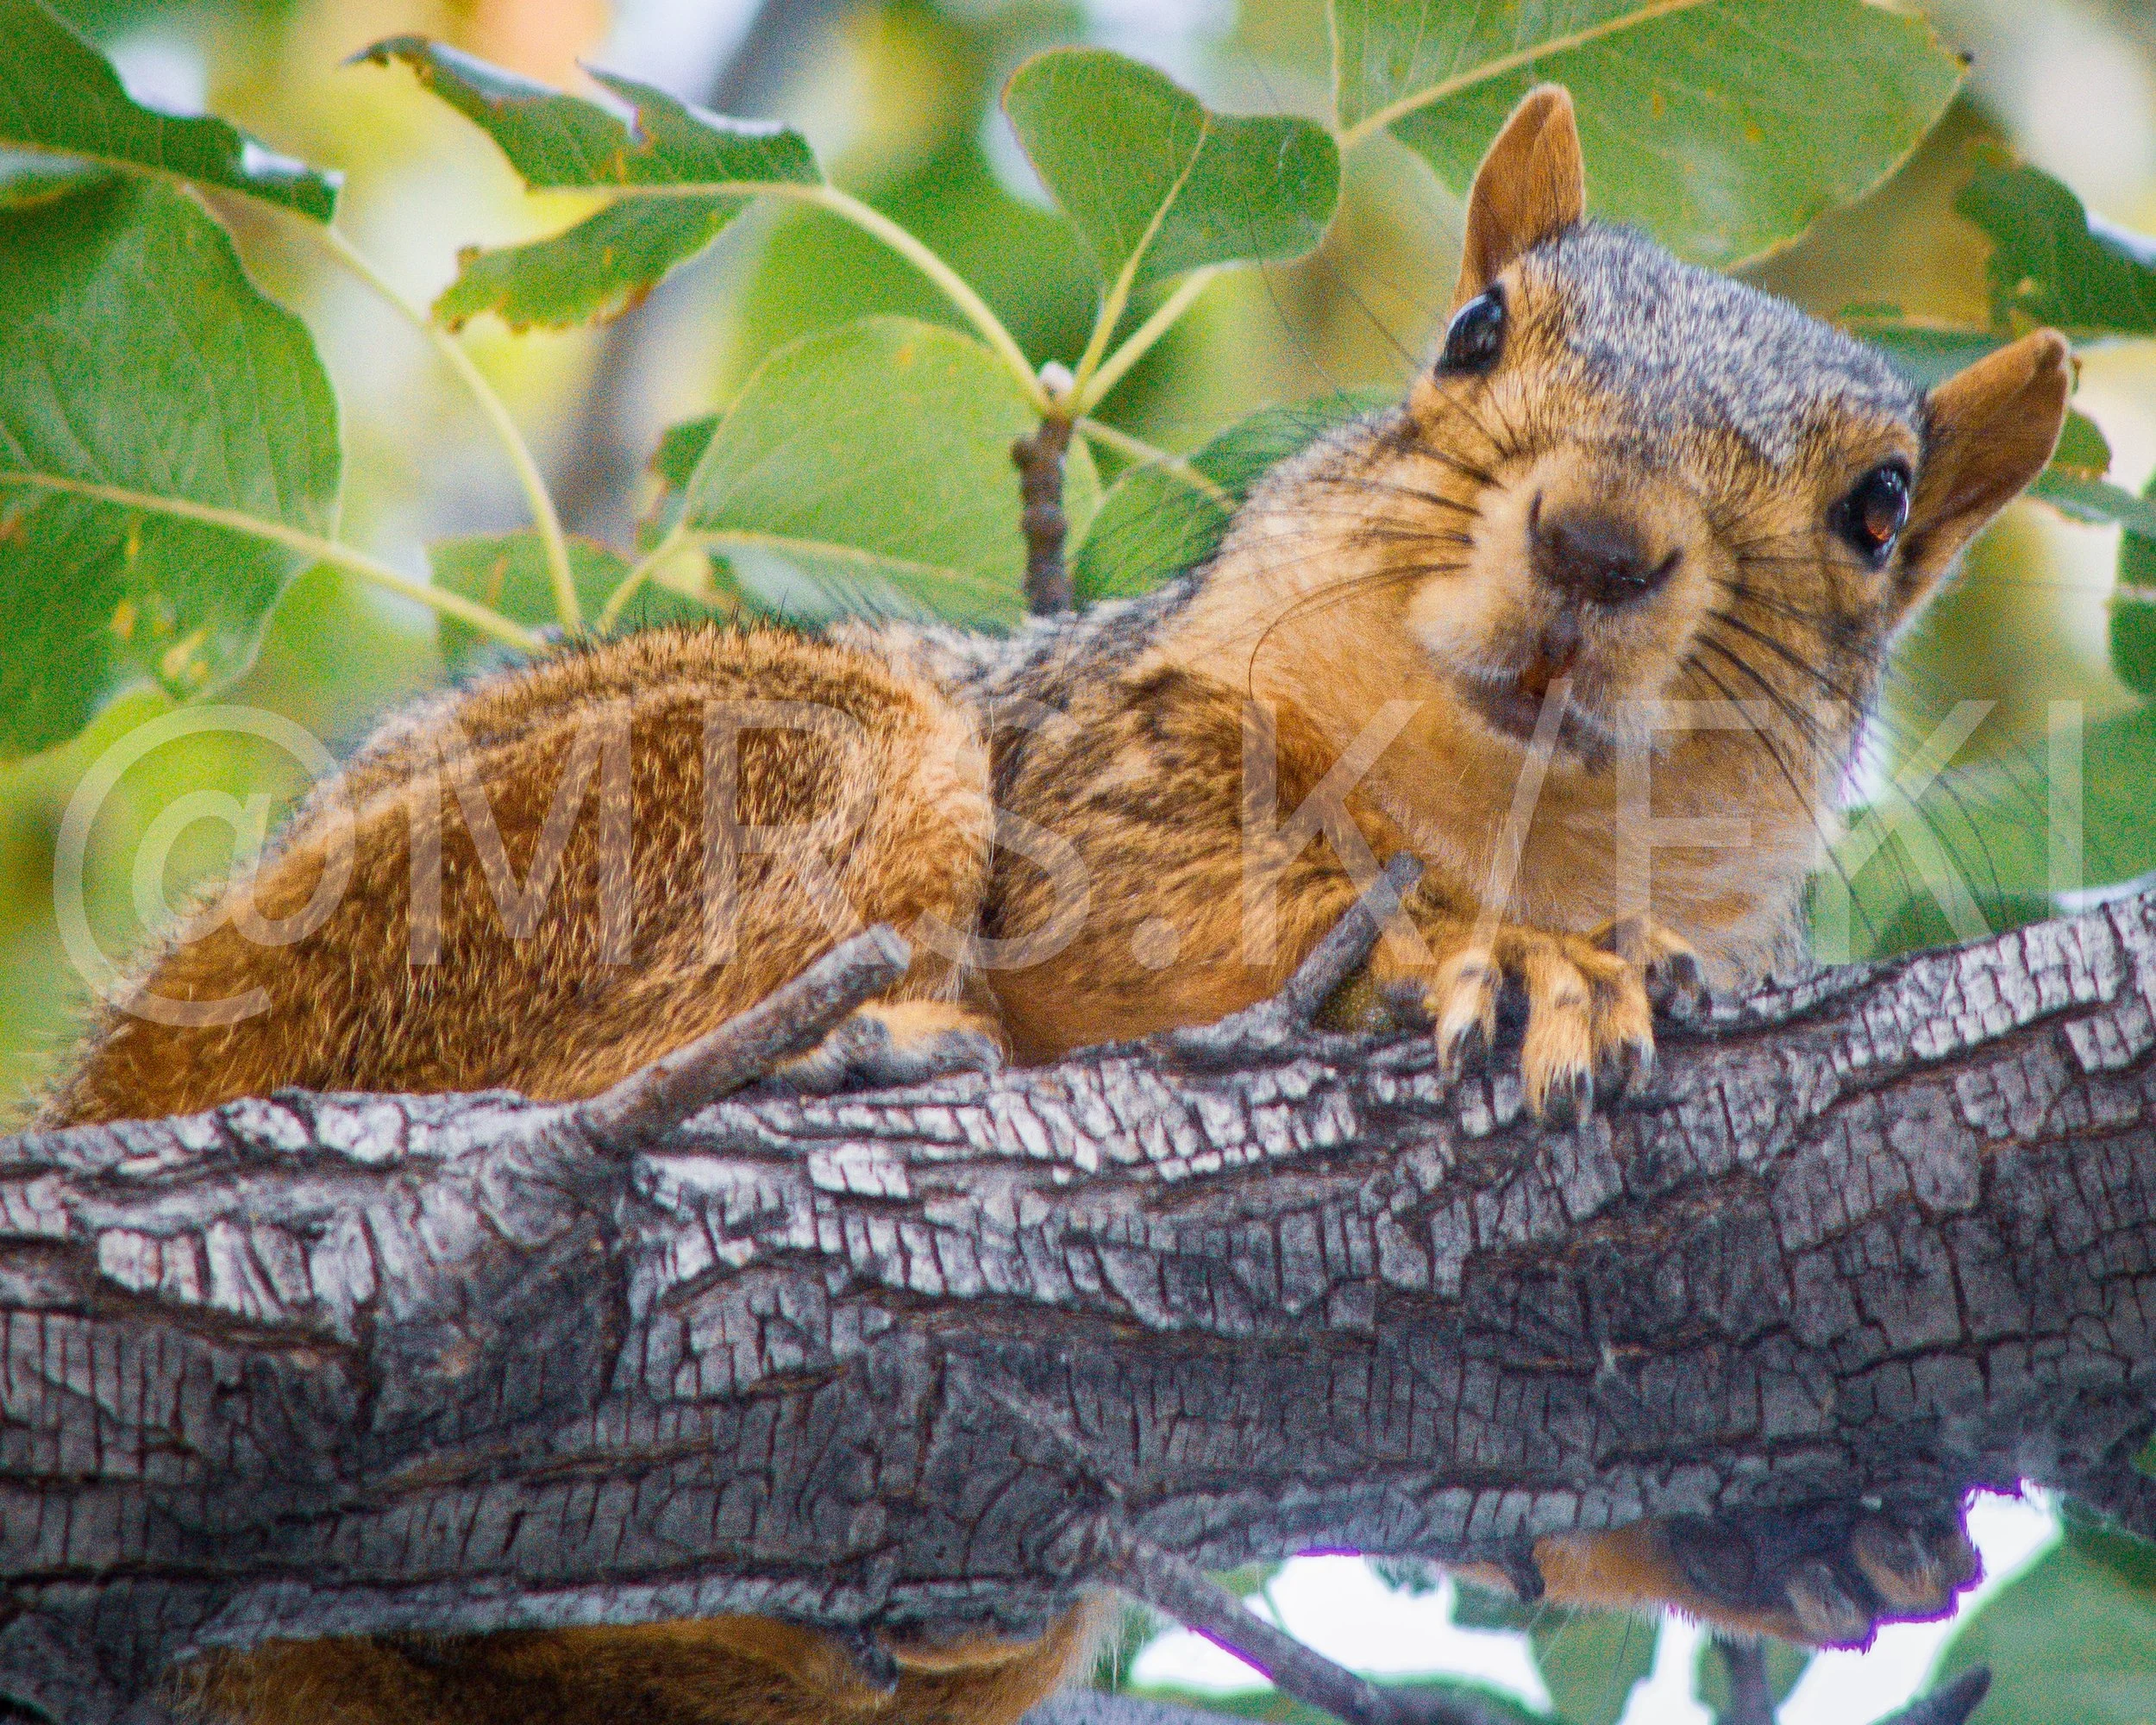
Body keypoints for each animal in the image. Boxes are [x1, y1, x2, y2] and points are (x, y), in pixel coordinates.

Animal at [43, 84, 2068, 1725]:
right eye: (1476, 332)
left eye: (1881, 506)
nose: (1595, 541)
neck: (1518, 815)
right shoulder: (1096, 767)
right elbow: (1172, 904)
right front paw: (1507, 962)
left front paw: (1783, 1530)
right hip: (689, 799)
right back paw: (851, 1057)